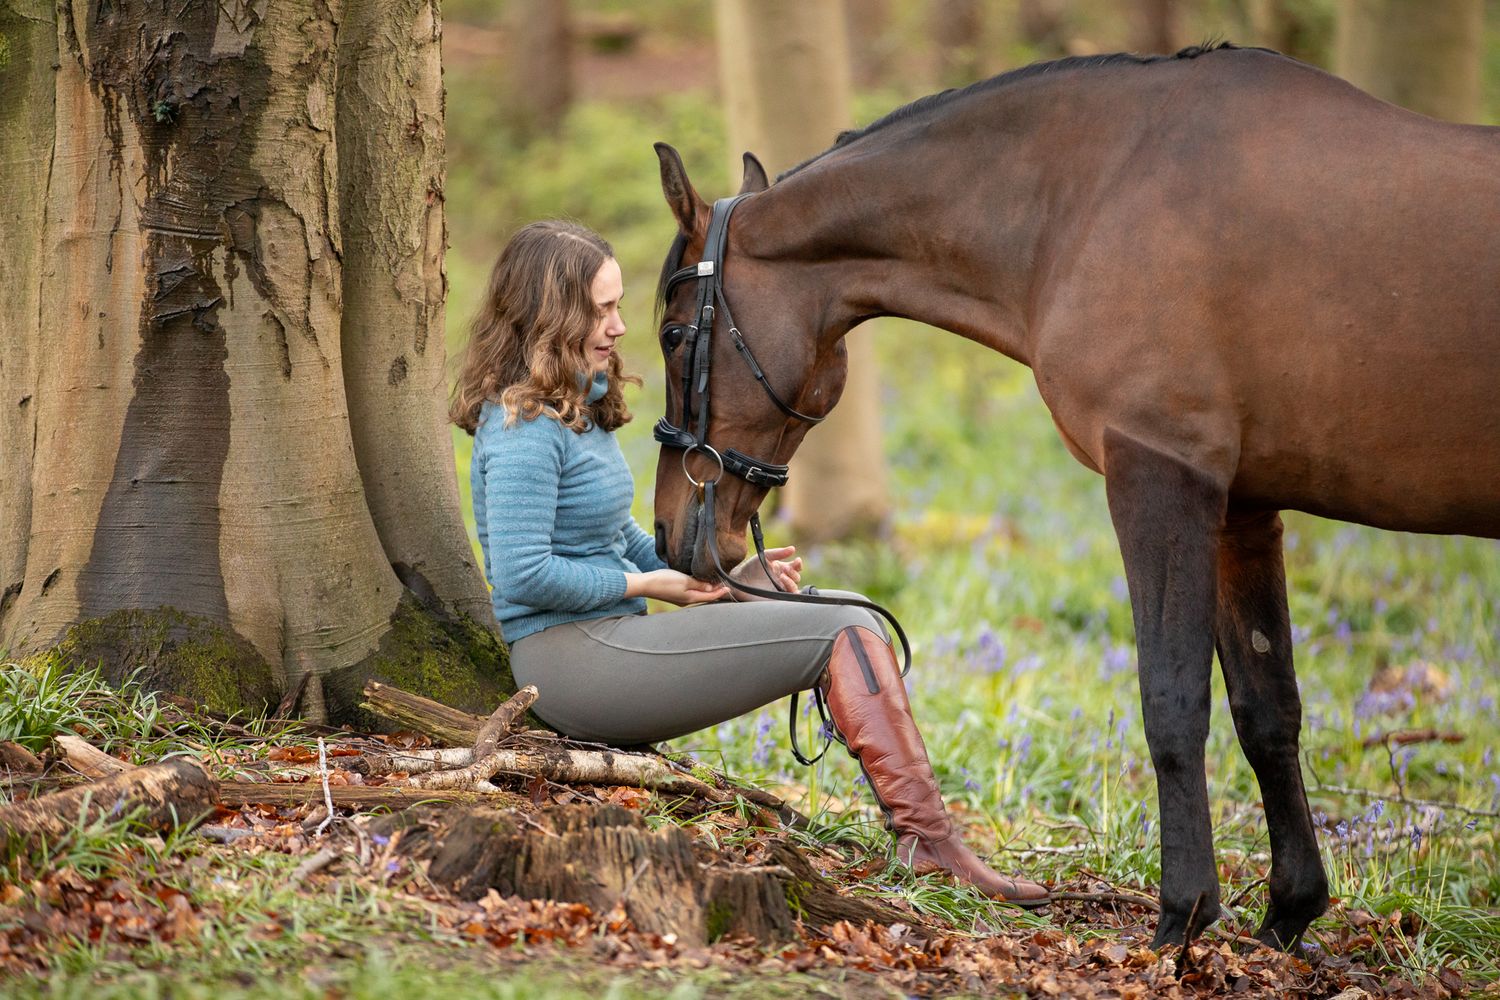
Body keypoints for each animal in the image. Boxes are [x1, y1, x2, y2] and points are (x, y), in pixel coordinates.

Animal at [648, 42, 1500, 949]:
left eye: (672, 335)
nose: (668, 533)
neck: (1088, 202)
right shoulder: (1242, 510)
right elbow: (1268, 710)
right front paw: (1286, 916)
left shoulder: (1159, 476)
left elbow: (1171, 700)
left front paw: (1181, 919)